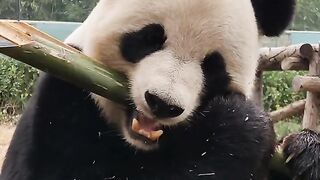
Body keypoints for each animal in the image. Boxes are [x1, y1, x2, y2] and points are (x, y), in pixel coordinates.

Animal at [0, 0, 316, 179]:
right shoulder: (65, 99)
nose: (163, 103)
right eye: (149, 38)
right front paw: (238, 126)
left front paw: (305, 150)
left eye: (213, 65)